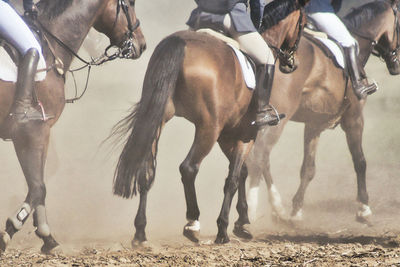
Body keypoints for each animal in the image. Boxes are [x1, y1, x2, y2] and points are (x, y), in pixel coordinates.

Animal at [0, 0, 146, 255]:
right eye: (129, 4)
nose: (142, 44)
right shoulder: (33, 131)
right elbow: (38, 187)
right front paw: (9, 231)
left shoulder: (37, 134)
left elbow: (38, 185)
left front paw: (47, 238)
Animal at [109, 0, 310, 247]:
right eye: (304, 24)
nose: (293, 63)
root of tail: (179, 44)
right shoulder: (245, 134)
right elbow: (233, 178)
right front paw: (224, 229)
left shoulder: (227, 135)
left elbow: (242, 172)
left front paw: (242, 223)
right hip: (208, 128)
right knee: (188, 168)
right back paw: (192, 224)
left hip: (159, 118)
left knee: (146, 170)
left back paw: (140, 233)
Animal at [245, 0, 398, 226]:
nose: (396, 66)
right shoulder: (354, 119)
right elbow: (360, 161)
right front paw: (364, 208)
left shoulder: (314, 124)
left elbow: (308, 169)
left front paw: (297, 210)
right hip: (278, 120)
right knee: (260, 156)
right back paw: (253, 210)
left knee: (259, 159)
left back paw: (277, 208)